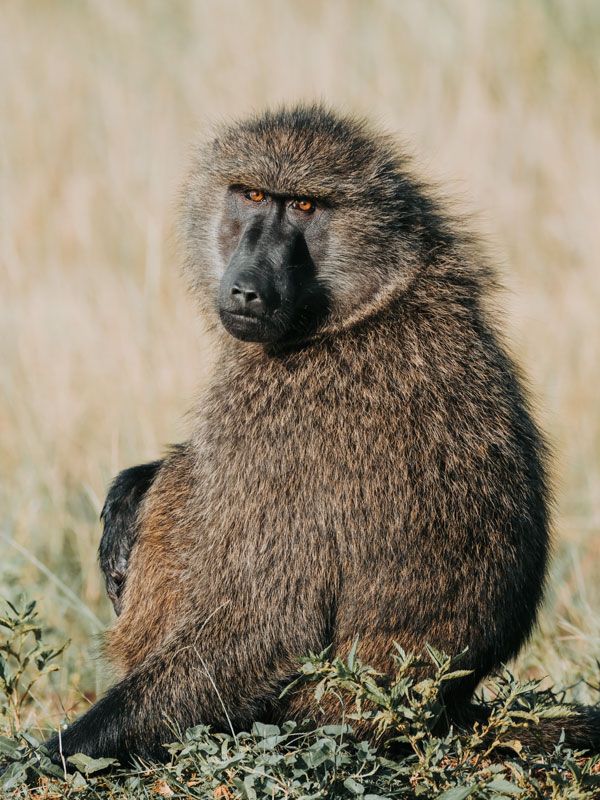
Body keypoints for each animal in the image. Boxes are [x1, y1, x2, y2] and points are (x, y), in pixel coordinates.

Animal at [46, 105, 600, 764]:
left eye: (305, 207)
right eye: (253, 195)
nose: (246, 289)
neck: (366, 306)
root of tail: (444, 712)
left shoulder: (278, 417)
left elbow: (267, 625)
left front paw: (59, 751)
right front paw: (125, 493)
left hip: (305, 713)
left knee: (190, 488)